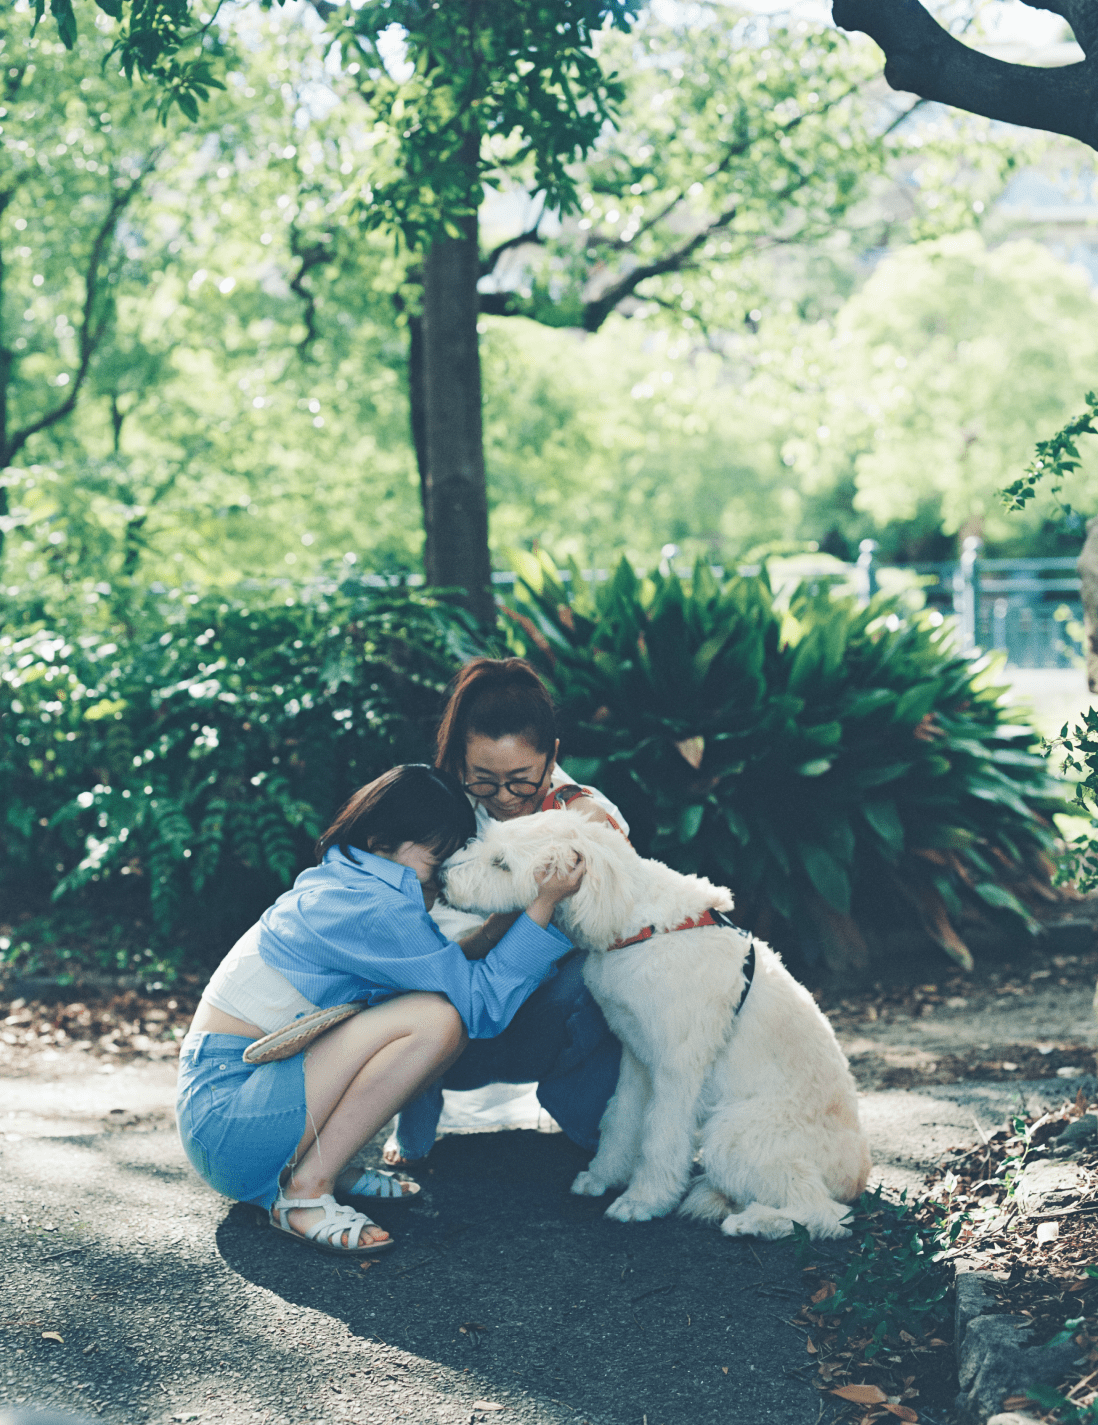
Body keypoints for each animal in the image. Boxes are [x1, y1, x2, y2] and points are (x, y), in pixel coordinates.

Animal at [441, 815, 871, 1236]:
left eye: (502, 863)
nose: (442, 877)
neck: (638, 926)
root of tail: (855, 1178)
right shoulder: (635, 1058)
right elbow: (620, 1119)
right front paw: (602, 1177)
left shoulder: (676, 1070)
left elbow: (660, 1138)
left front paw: (643, 1202)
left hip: (733, 1133)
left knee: (828, 1214)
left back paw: (752, 1221)